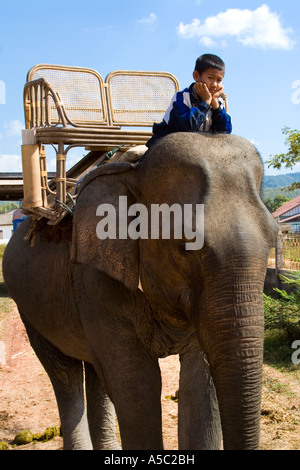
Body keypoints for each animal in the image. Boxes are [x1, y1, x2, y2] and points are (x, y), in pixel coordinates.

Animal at [2, 131, 278, 448]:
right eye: (185, 247)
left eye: (274, 239)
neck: (135, 170)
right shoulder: (93, 280)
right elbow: (136, 384)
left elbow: (198, 382)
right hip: (30, 310)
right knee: (64, 374)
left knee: (96, 372)